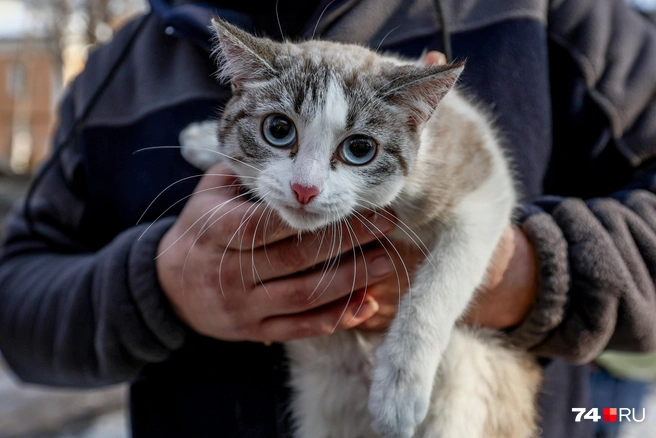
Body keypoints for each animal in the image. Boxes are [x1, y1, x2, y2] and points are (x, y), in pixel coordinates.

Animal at [181, 19, 544, 438]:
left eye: (359, 149)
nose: (304, 189)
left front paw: (399, 389)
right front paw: (201, 138)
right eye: (278, 129)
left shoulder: (483, 184)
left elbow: (439, 286)